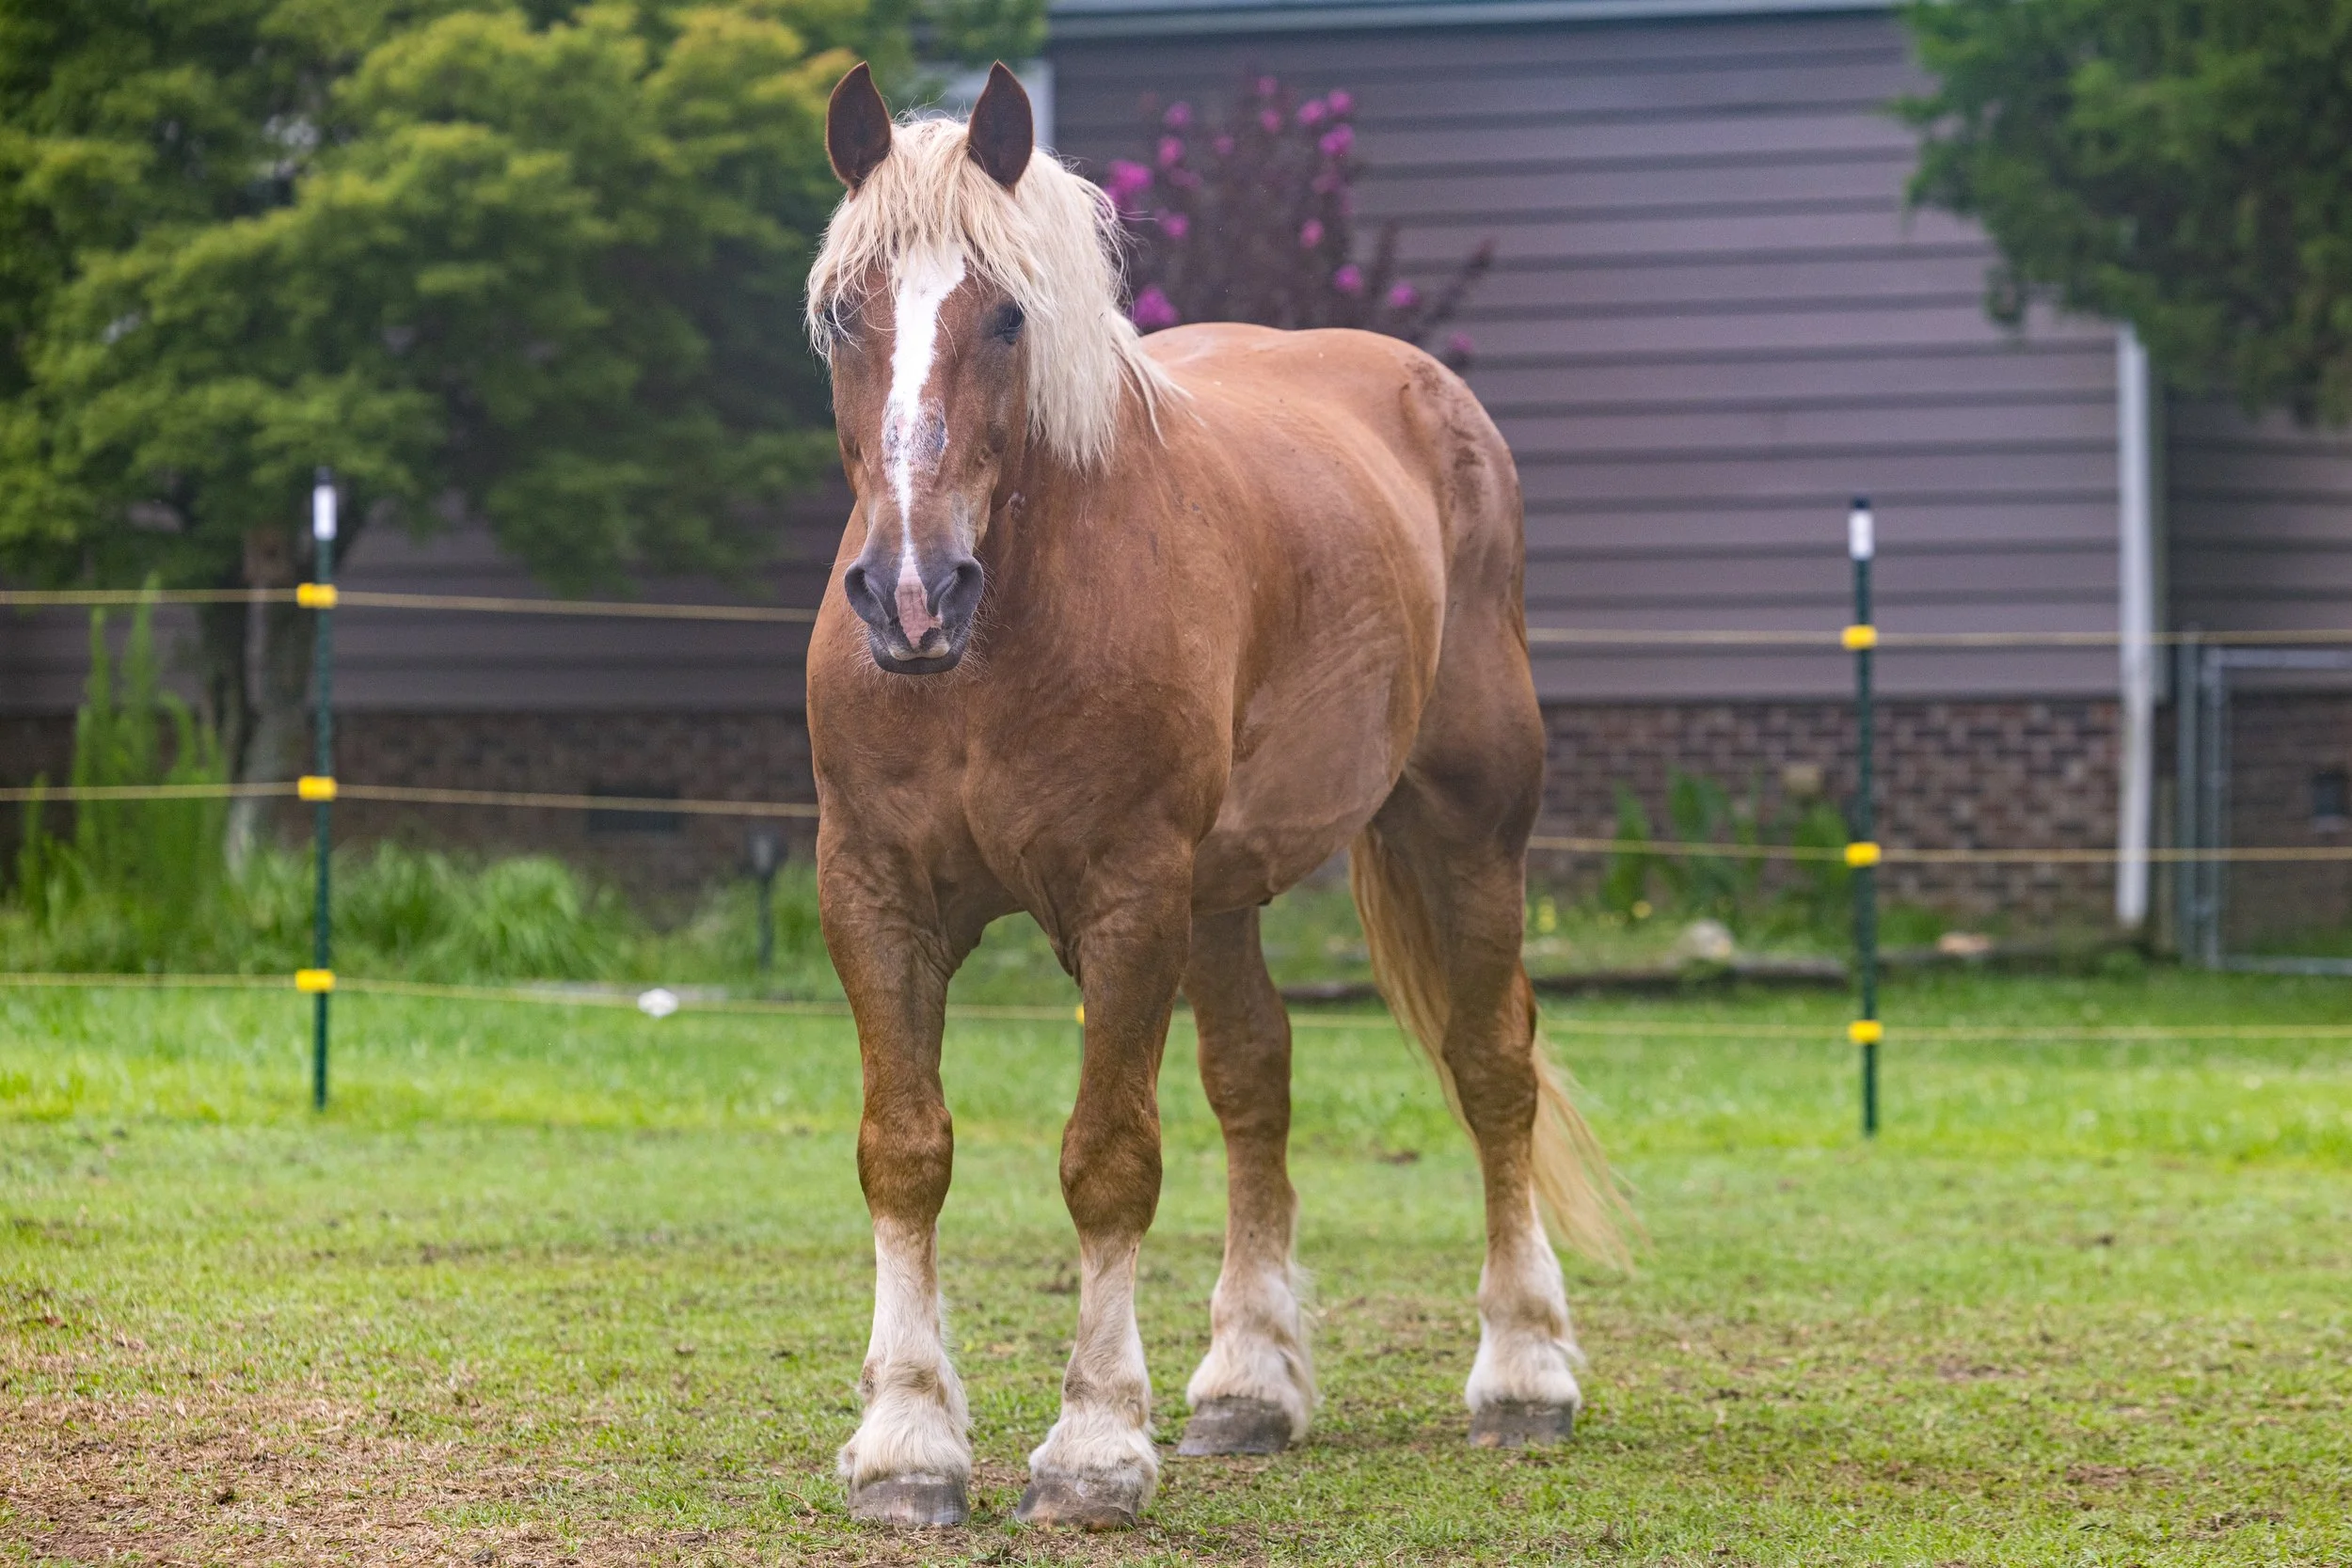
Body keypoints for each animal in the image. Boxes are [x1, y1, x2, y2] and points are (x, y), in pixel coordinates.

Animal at [803, 61, 1628, 1530]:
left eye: (1006, 313)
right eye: (848, 312)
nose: (910, 593)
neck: (996, 647)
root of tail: (1434, 399)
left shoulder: (1129, 899)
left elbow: (1108, 1158)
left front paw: (1092, 1446)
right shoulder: (876, 894)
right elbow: (904, 1149)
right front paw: (905, 1443)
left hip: (1468, 832)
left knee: (1492, 1066)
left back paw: (1525, 1370)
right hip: (1224, 893)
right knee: (1258, 1080)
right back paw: (1247, 1382)